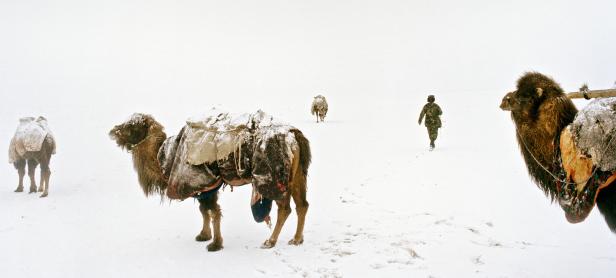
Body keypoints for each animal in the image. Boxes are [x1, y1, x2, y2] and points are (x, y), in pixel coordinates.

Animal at [108, 113, 310, 252]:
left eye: (132, 126)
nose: (113, 131)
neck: (166, 158)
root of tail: (295, 136)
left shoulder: (206, 181)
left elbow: (213, 212)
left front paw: (215, 244)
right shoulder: (206, 187)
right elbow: (204, 211)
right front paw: (203, 236)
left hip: (276, 178)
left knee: (284, 208)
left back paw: (270, 241)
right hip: (298, 175)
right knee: (302, 205)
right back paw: (297, 239)